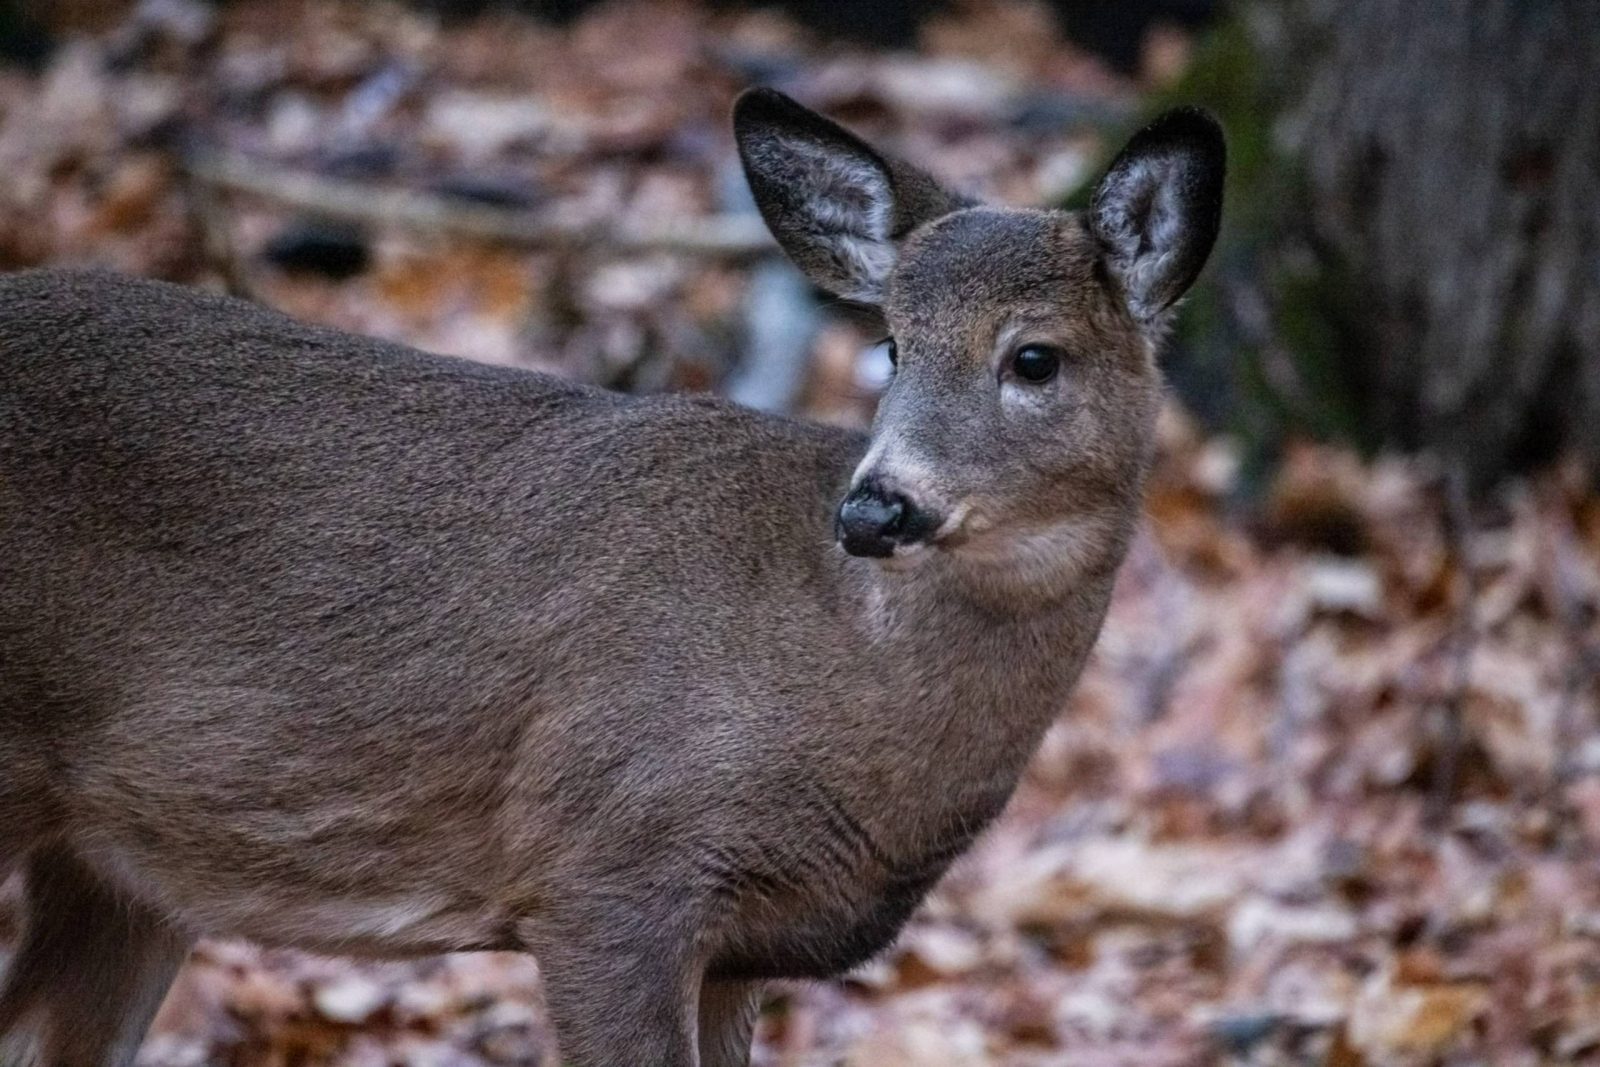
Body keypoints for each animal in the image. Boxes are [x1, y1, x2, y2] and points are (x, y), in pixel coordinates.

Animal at [0, 91, 1222, 1067]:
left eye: (1033, 357)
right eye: (890, 346)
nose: (875, 506)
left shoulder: (738, 946)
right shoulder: (607, 868)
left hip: (120, 868)